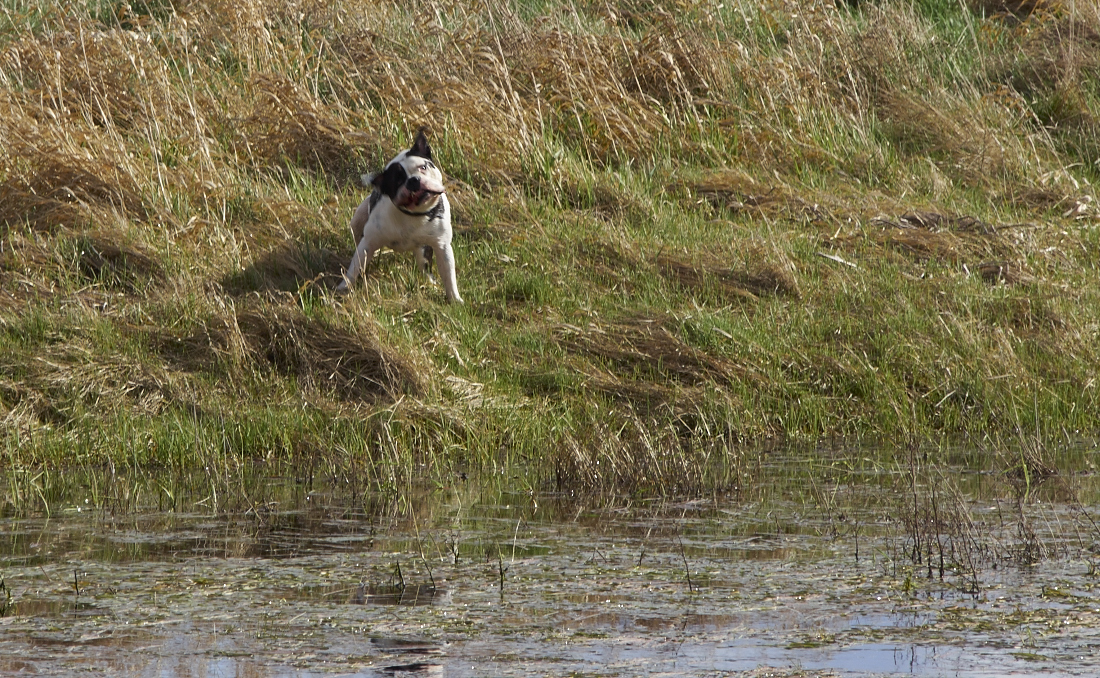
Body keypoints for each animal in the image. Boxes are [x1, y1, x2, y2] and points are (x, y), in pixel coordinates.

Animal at [330, 129, 459, 301]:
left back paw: (430, 282)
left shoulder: (442, 246)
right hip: (357, 221)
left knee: (424, 266)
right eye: (396, 181)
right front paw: (344, 286)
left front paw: (455, 299)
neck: (413, 215)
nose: (413, 180)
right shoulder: (368, 243)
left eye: (423, 167)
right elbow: (355, 267)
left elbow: (449, 275)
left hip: (422, 248)